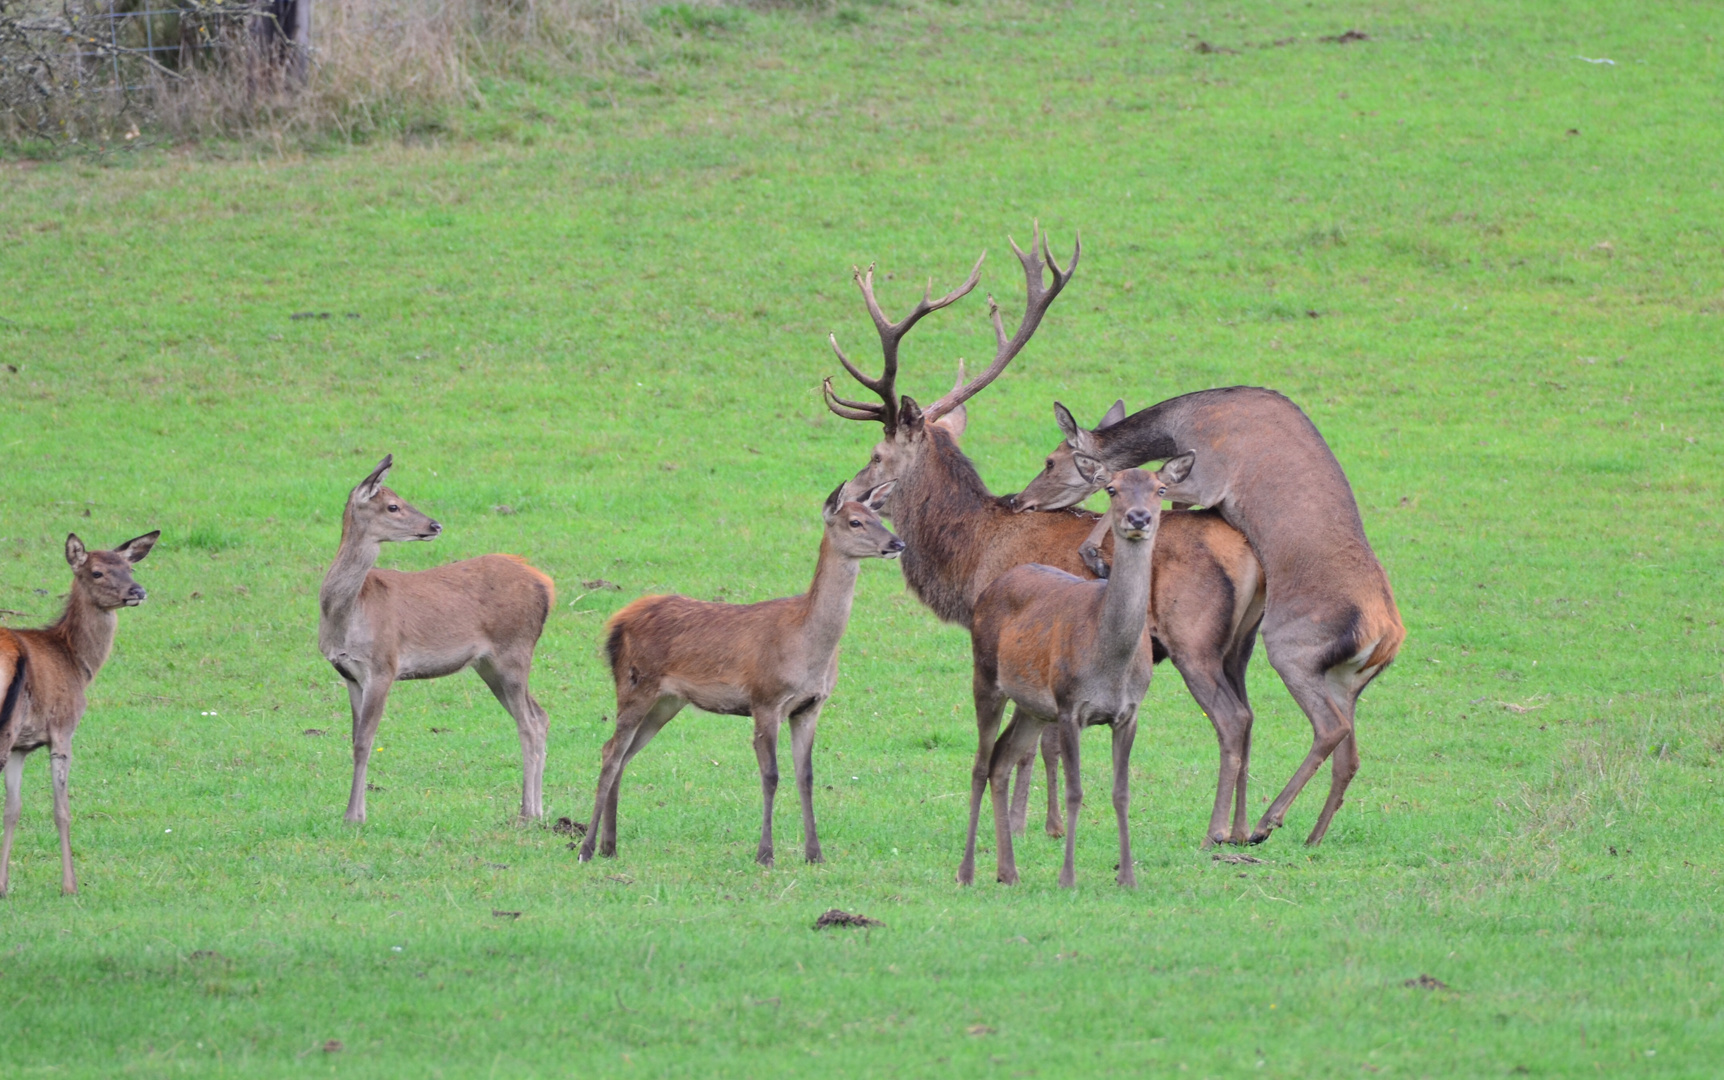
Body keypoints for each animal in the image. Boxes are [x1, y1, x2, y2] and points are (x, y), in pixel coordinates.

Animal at [0, 527, 158, 890]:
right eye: (97, 572)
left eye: (130, 568)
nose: (138, 591)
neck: (78, 665)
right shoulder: (63, 728)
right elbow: (62, 810)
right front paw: (69, 885)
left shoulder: (21, 746)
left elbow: (13, 809)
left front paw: (3, 885)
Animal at [320, 455, 555, 824]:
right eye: (393, 506)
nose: (434, 525)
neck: (347, 614)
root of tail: (546, 585)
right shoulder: (350, 675)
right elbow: (355, 740)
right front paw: (352, 813)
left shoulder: (383, 667)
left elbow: (365, 742)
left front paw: (355, 816)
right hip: (489, 665)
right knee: (541, 717)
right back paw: (537, 810)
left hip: (514, 650)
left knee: (529, 725)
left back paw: (527, 813)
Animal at [579, 479, 903, 866]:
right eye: (855, 521)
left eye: (879, 516)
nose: (897, 544)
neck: (807, 647)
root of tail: (617, 623)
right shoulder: (765, 698)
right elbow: (771, 775)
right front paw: (765, 854)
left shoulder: (810, 707)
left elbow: (806, 776)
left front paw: (815, 854)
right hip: (634, 684)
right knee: (610, 752)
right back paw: (586, 848)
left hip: (666, 702)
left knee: (623, 754)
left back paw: (610, 847)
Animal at [965, 462, 1179, 883]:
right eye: (1112, 489)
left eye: (1160, 488)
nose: (1139, 518)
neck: (1110, 662)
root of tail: (992, 587)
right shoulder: (1068, 706)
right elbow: (1075, 790)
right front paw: (1067, 876)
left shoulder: (1129, 712)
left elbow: (1121, 792)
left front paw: (1127, 877)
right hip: (986, 677)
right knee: (980, 764)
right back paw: (966, 872)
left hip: (1032, 707)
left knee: (1001, 760)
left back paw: (1008, 872)